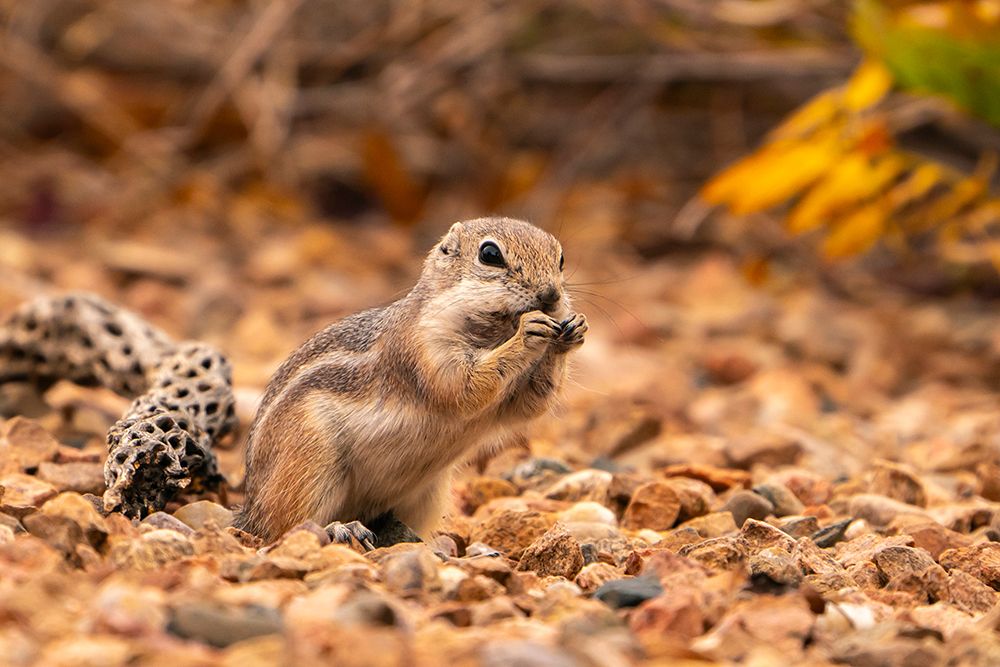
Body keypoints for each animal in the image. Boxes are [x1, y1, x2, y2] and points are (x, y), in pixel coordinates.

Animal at [233, 217, 587, 545]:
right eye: (490, 254)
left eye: (561, 258)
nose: (551, 295)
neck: (493, 333)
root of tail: (250, 509)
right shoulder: (427, 351)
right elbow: (466, 389)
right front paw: (528, 331)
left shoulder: (511, 402)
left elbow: (531, 404)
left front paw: (572, 331)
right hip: (308, 463)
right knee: (284, 525)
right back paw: (340, 529)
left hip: (427, 495)